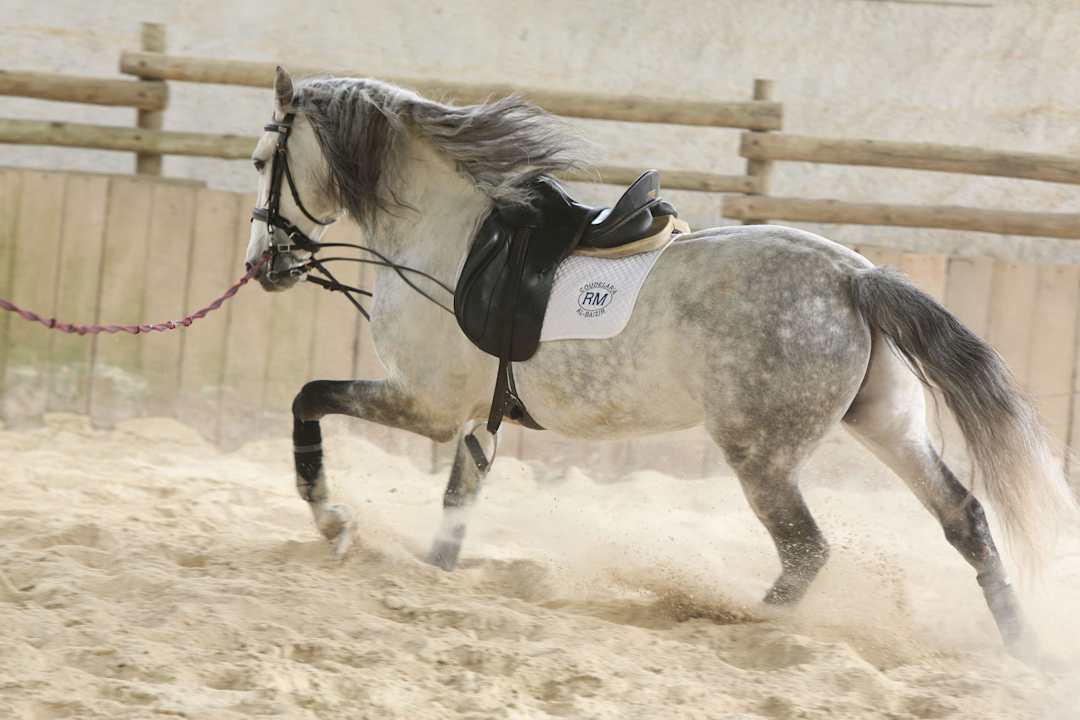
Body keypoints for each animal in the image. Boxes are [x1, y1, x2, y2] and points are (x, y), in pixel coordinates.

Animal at [244, 67, 1075, 659]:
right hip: (887, 423)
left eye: (260, 160)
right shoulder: (476, 420)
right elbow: (456, 506)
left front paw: (333, 522)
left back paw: (734, 617)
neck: (449, 241)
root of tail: (853, 276)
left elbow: (308, 399)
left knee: (807, 550)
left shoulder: (425, 404)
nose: (261, 266)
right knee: (964, 518)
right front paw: (432, 575)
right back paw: (1023, 649)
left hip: (761, 453)